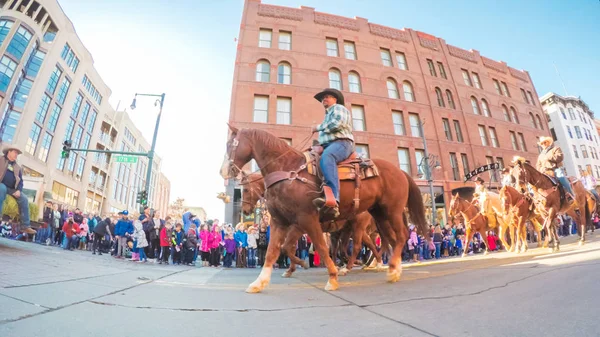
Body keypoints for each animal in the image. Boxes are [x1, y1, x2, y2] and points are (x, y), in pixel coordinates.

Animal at [220, 126, 426, 292]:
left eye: (231, 144)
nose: (223, 171)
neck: (287, 172)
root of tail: (401, 172)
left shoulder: (304, 220)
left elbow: (319, 246)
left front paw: (330, 277)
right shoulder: (281, 222)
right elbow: (274, 251)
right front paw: (260, 282)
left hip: (389, 212)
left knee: (395, 237)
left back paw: (371, 267)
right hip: (380, 215)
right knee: (388, 240)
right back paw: (389, 267)